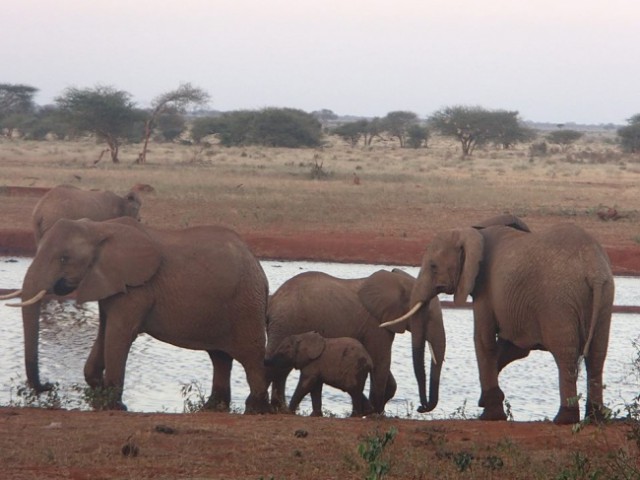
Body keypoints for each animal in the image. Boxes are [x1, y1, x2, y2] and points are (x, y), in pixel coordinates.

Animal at [8, 217, 272, 412]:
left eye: (64, 258)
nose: (49, 385)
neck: (99, 228)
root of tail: (257, 264)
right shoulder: (110, 281)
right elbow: (104, 331)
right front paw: (98, 390)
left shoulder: (138, 288)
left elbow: (119, 333)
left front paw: (114, 405)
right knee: (220, 357)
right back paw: (214, 406)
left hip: (246, 304)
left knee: (251, 357)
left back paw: (256, 408)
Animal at [264, 268, 444, 414]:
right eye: (427, 315)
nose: (421, 408)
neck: (400, 281)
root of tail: (272, 300)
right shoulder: (376, 324)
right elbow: (381, 361)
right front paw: (376, 413)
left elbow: (377, 362)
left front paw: (370, 410)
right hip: (285, 323)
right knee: (276, 366)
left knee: (281, 367)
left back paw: (279, 408)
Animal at [384, 218, 616, 424]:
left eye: (433, 266)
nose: (421, 407)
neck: (473, 231)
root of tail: (593, 269)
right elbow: (514, 347)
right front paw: (486, 402)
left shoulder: (484, 288)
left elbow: (483, 340)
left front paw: (489, 414)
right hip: (605, 297)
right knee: (597, 355)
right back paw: (595, 417)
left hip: (559, 301)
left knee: (565, 355)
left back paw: (564, 419)